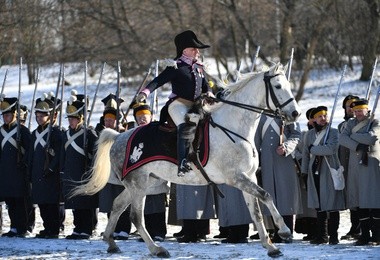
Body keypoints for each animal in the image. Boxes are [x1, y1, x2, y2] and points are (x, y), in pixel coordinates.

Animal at [72, 63, 302, 258]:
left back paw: (111, 242)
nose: (295, 113)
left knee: (118, 205)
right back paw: (156, 249)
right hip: (138, 184)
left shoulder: (249, 177)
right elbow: (266, 196)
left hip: (142, 183)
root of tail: (119, 136)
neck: (233, 127)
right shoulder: (236, 178)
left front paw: (271, 246)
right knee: (136, 216)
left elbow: (256, 211)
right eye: (278, 86)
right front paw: (284, 231)